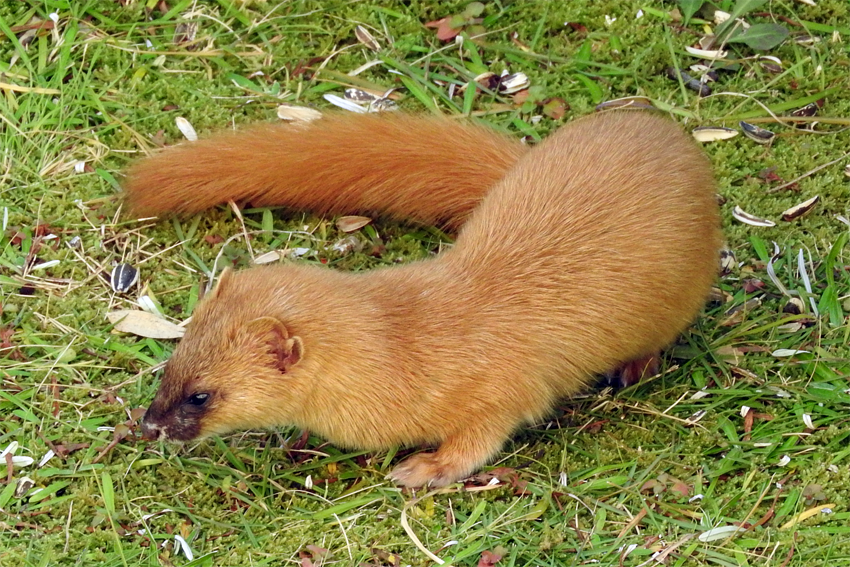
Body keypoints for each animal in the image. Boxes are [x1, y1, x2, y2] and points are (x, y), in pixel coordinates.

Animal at [129, 111, 720, 488]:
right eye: (172, 361)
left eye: (201, 395)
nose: (148, 426)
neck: (412, 346)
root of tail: (654, 125)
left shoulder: (505, 390)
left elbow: (479, 441)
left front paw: (423, 469)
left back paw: (635, 365)